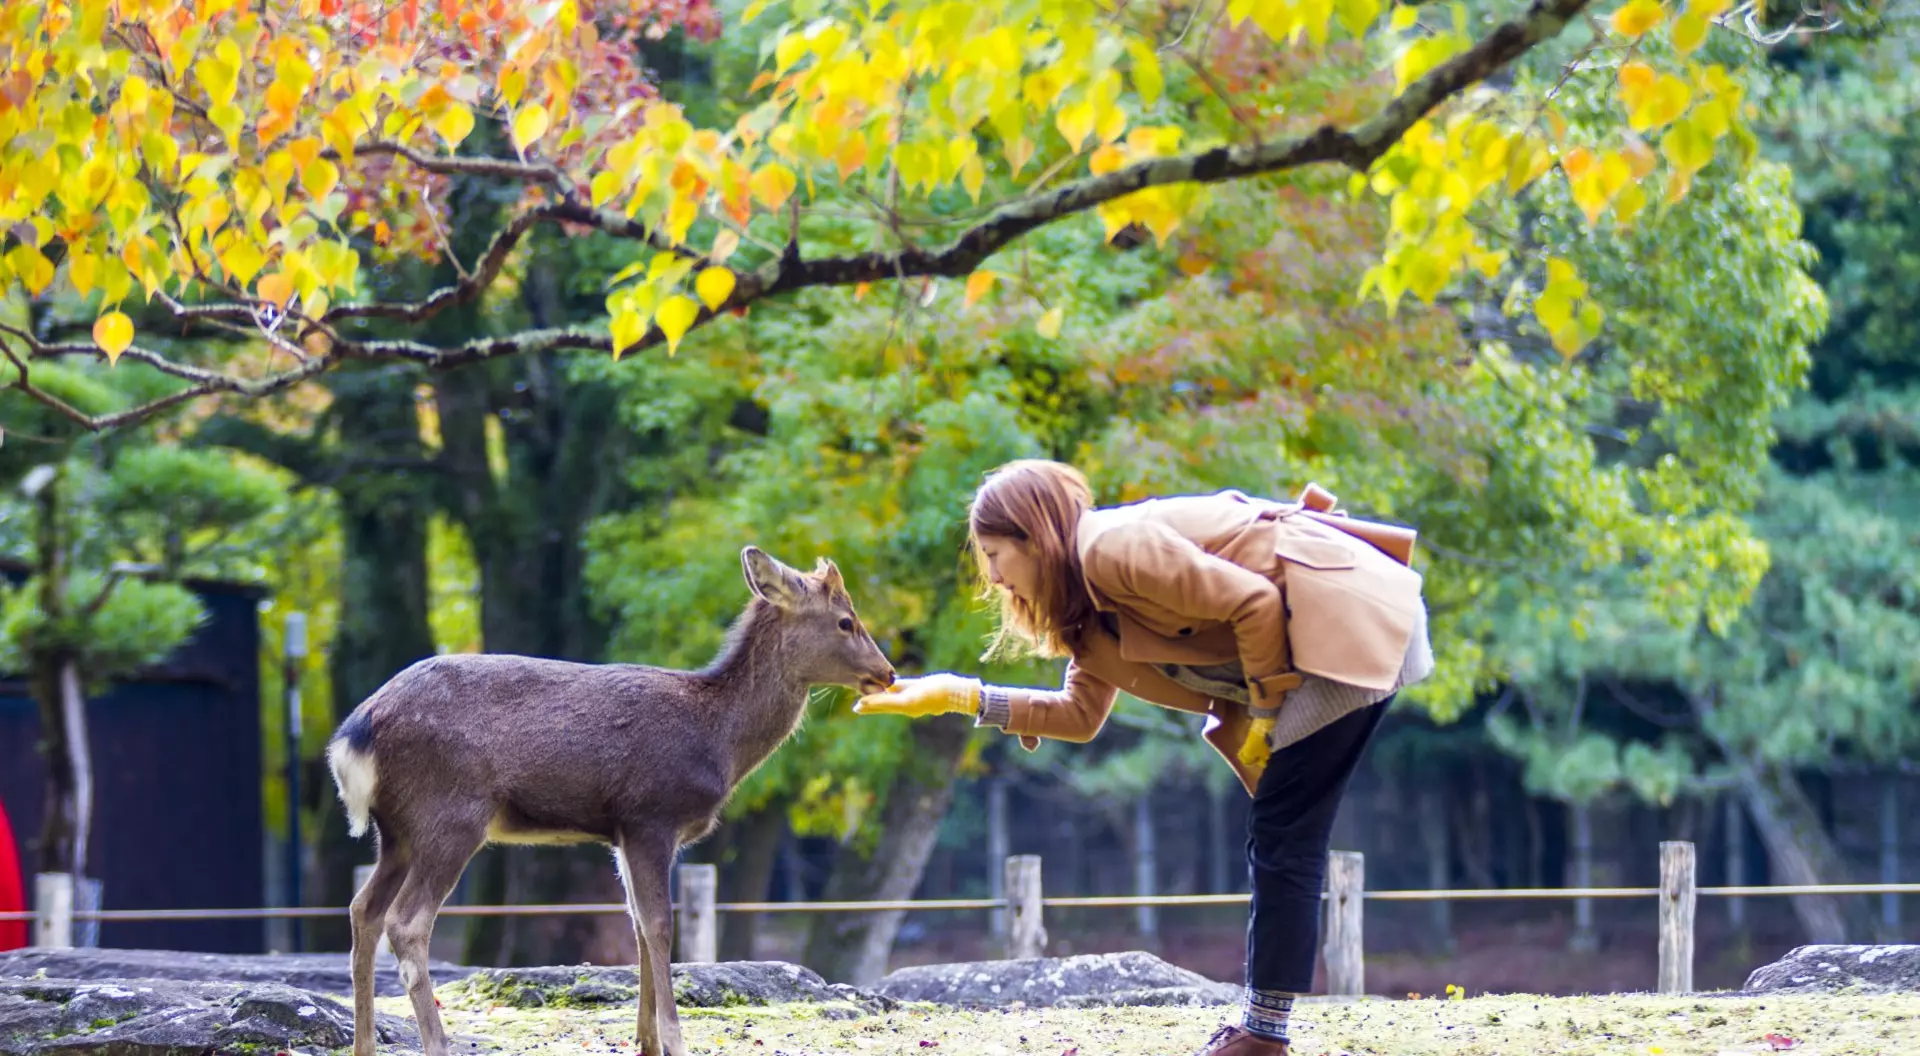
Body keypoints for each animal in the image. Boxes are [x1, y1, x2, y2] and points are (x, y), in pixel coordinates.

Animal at [325, 547, 896, 1056]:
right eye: (846, 621)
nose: (888, 673)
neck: (719, 741)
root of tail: (353, 736)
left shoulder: (621, 832)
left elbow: (638, 927)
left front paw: (645, 1041)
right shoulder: (652, 815)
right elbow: (660, 927)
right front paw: (674, 1041)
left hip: (397, 831)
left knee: (362, 910)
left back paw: (364, 1046)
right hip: (451, 813)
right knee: (407, 922)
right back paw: (439, 1045)